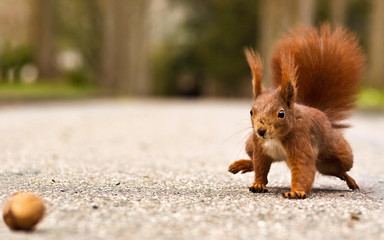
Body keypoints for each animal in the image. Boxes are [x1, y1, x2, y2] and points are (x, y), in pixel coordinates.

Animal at [230, 23, 364, 199]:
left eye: (281, 113)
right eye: (251, 112)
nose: (261, 131)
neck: (276, 137)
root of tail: (320, 112)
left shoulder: (300, 142)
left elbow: (303, 166)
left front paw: (296, 192)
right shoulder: (260, 147)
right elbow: (259, 165)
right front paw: (258, 184)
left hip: (339, 154)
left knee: (339, 169)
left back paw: (350, 180)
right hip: (250, 144)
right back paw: (242, 165)